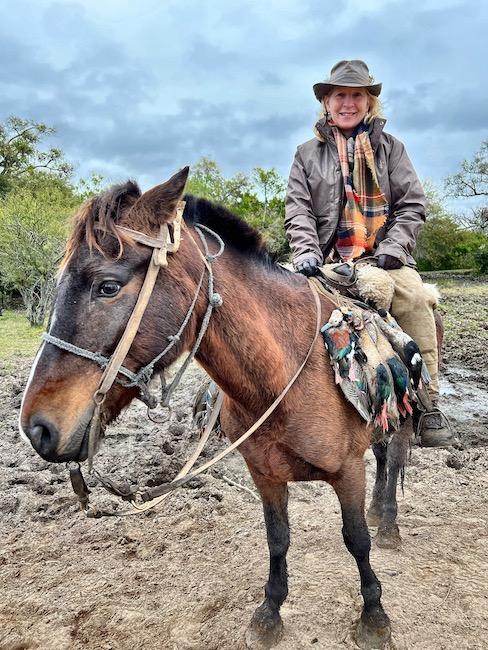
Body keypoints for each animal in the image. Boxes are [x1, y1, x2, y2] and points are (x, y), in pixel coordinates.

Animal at [20, 168, 416, 648]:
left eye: (107, 286)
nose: (36, 428)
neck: (287, 376)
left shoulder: (346, 471)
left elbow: (356, 540)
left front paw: (374, 615)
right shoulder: (264, 472)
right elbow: (278, 538)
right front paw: (269, 613)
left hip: (403, 420)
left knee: (393, 459)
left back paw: (389, 524)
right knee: (382, 454)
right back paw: (379, 510)